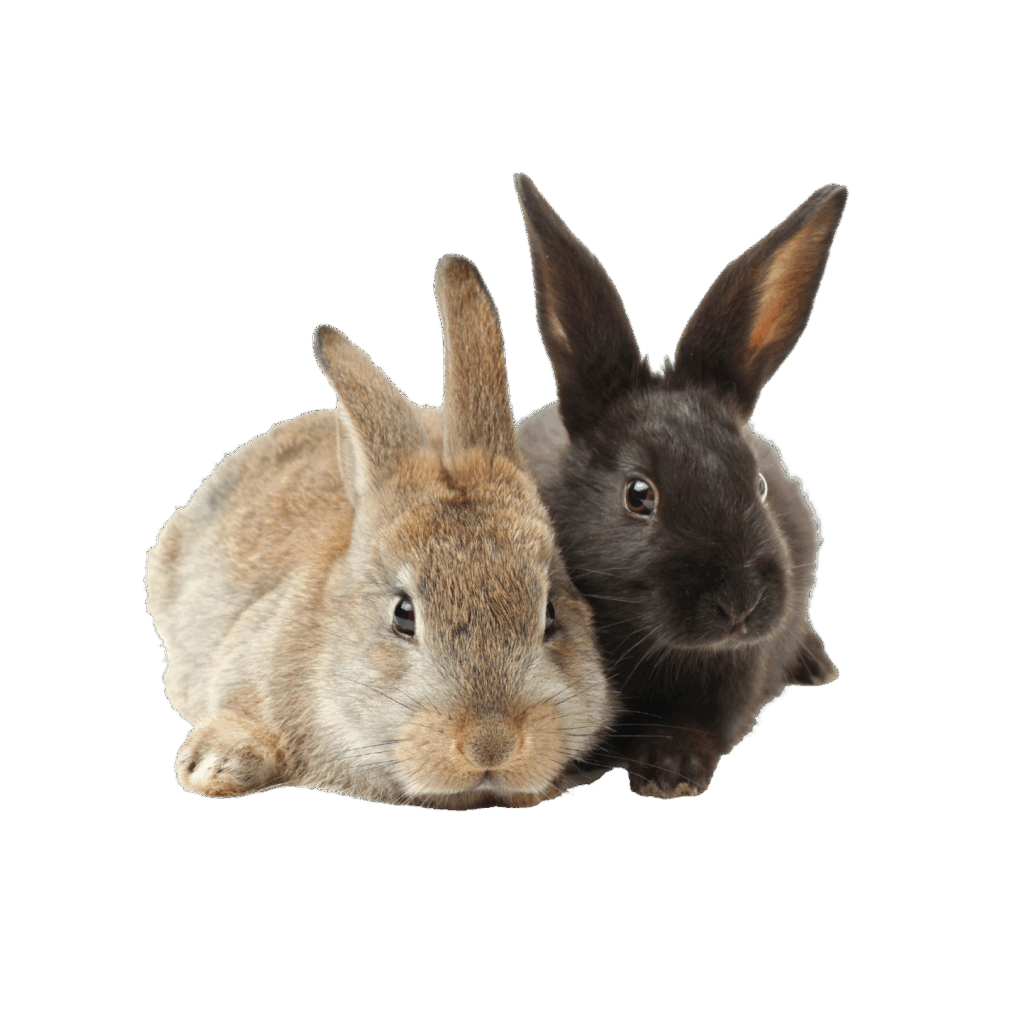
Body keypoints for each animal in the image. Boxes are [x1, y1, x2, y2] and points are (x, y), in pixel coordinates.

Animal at [513, 173, 846, 798]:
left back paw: (820, 667)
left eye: (758, 486)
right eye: (638, 495)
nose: (740, 602)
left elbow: (701, 726)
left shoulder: (736, 679)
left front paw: (669, 774)